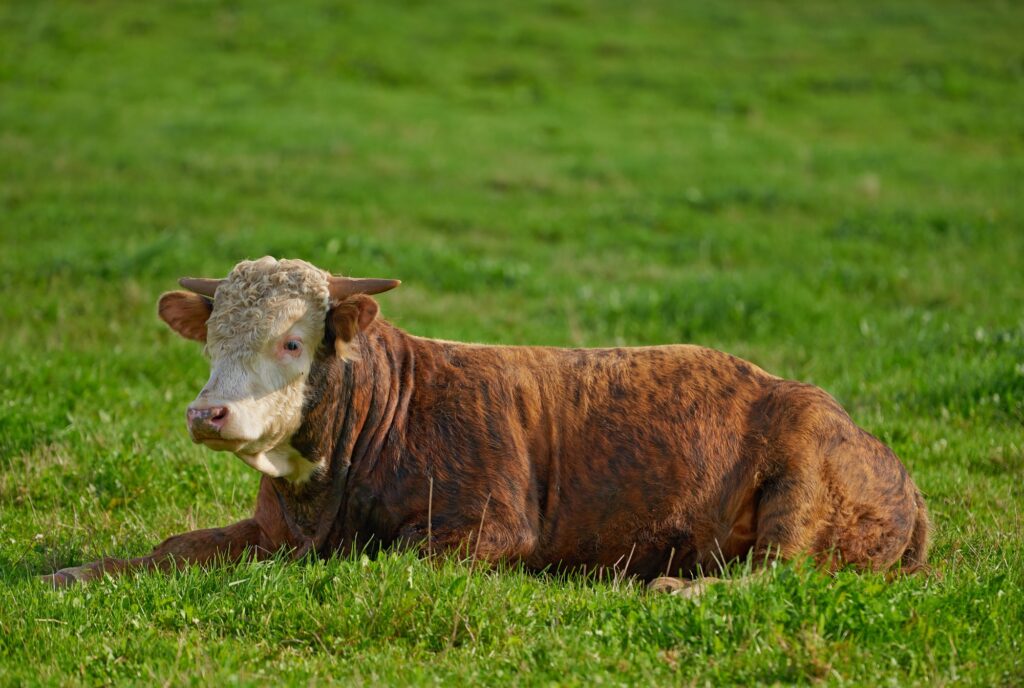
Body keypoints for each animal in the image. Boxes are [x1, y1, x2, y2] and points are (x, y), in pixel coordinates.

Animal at [44, 254, 933, 593]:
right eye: (211, 339)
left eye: (293, 341)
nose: (209, 412)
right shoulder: (273, 528)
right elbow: (175, 547)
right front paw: (76, 572)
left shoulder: (489, 527)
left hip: (801, 480)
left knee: (777, 571)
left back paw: (674, 585)